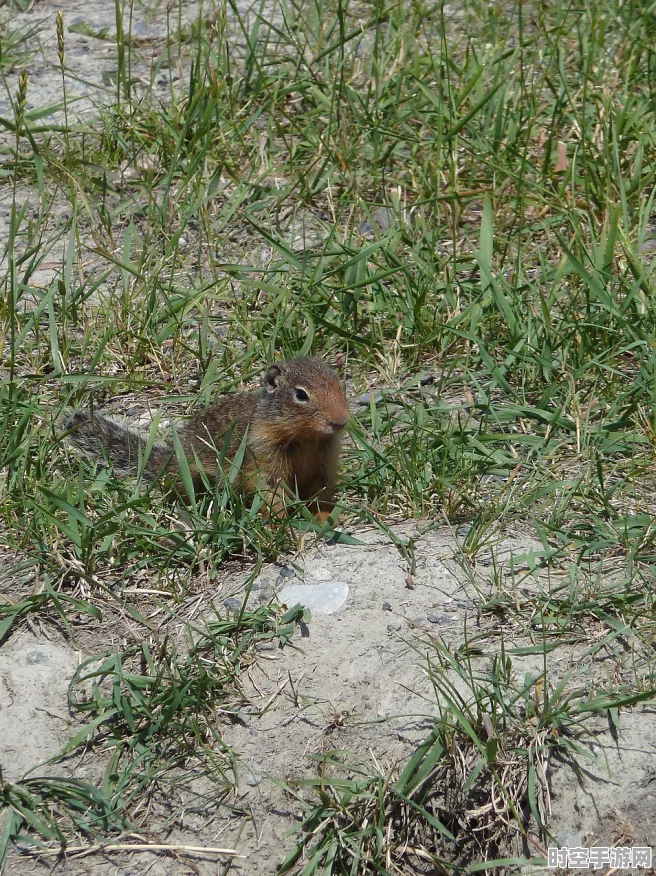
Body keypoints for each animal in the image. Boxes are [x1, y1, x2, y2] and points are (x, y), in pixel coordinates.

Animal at [68, 356, 352, 520]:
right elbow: (269, 490)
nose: (341, 421)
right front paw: (280, 520)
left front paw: (327, 516)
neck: (307, 438)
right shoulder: (263, 456)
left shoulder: (324, 464)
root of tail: (165, 461)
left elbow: (321, 494)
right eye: (301, 394)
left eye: (339, 383)